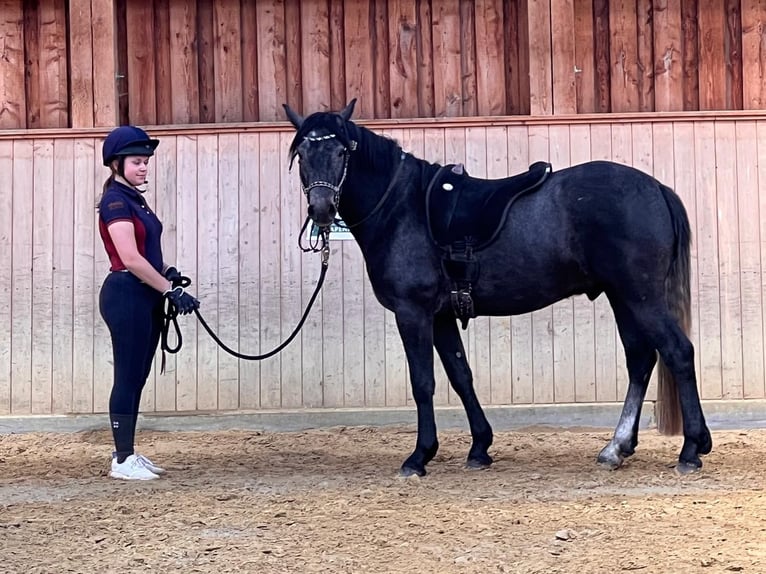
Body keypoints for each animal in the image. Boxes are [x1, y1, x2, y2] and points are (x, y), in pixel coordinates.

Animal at [283, 99, 712, 476]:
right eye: (302, 152)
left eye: (342, 152)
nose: (321, 210)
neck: (402, 208)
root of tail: (656, 188)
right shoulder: (440, 315)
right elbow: (460, 375)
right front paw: (479, 447)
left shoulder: (413, 312)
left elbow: (423, 382)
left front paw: (419, 456)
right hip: (622, 296)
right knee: (640, 359)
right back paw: (616, 447)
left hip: (641, 296)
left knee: (677, 352)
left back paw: (690, 449)